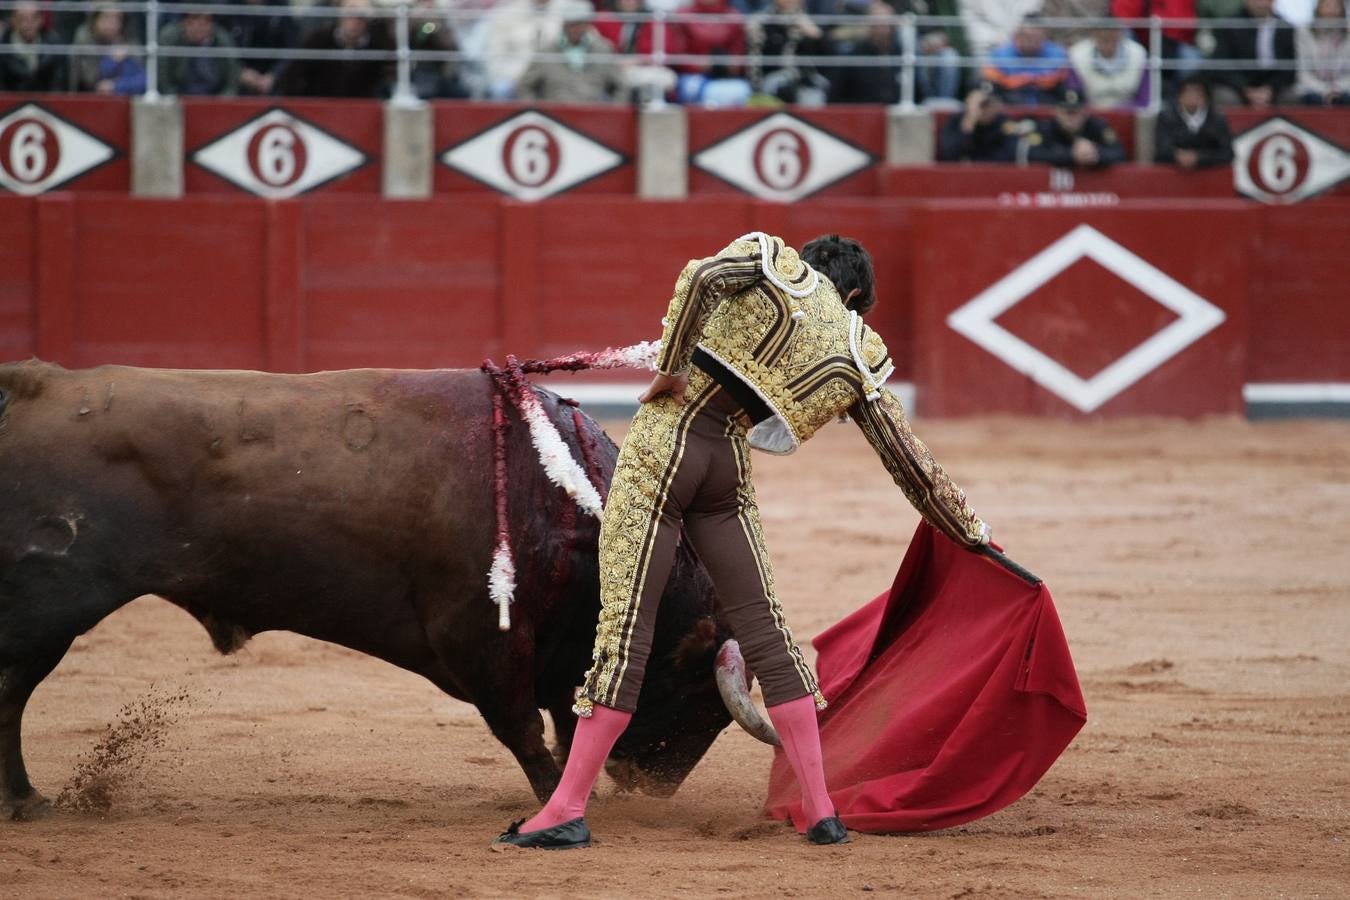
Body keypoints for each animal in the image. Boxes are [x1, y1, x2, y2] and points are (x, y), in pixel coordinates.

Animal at [0, 361, 777, 820]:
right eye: (698, 691)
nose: (654, 786)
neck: (560, 498)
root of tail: (38, 382)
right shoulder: (482, 641)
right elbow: (526, 730)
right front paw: (554, 799)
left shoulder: (548, 647)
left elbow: (559, 713)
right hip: (46, 609)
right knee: (12, 692)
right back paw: (28, 802)